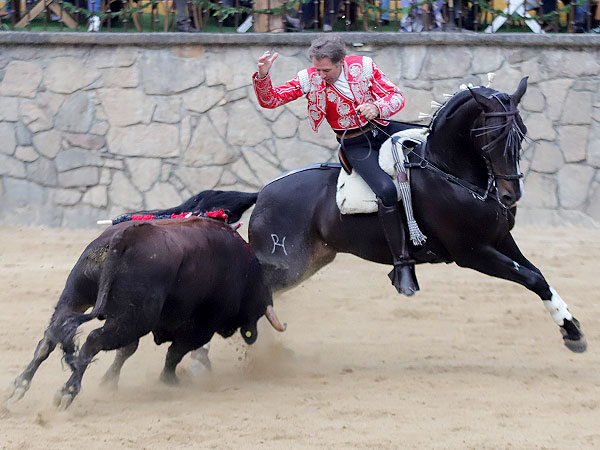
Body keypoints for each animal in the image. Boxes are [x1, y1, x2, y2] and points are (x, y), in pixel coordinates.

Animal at [8, 207, 286, 408]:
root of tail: (123, 238)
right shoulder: (200, 327)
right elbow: (175, 353)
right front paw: (170, 380)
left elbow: (127, 352)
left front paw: (109, 382)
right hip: (134, 318)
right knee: (93, 341)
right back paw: (67, 392)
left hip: (78, 296)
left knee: (50, 336)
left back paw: (19, 386)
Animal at [226, 75, 584, 354]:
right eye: (490, 135)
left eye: (521, 131)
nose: (511, 196)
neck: (449, 171)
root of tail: (262, 194)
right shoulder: (472, 253)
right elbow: (531, 278)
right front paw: (573, 331)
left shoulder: (499, 239)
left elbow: (538, 275)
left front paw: (570, 327)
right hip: (284, 263)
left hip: (308, 262)